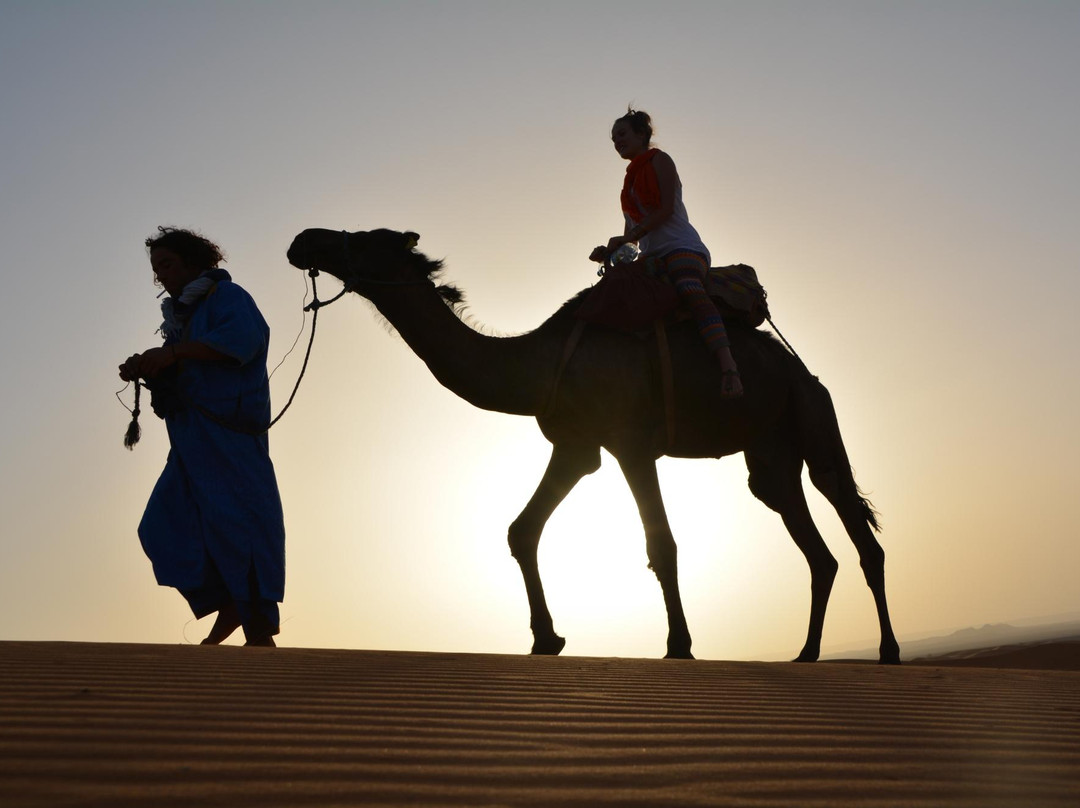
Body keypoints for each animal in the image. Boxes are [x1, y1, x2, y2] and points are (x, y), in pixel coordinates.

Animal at [287, 226, 902, 661]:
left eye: (363, 238)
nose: (303, 240)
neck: (536, 363)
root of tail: (802, 370)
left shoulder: (630, 443)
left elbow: (661, 544)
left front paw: (679, 647)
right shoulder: (576, 449)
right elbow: (522, 530)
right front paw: (546, 639)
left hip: (814, 417)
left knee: (857, 528)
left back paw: (888, 651)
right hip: (770, 452)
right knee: (813, 545)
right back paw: (806, 653)